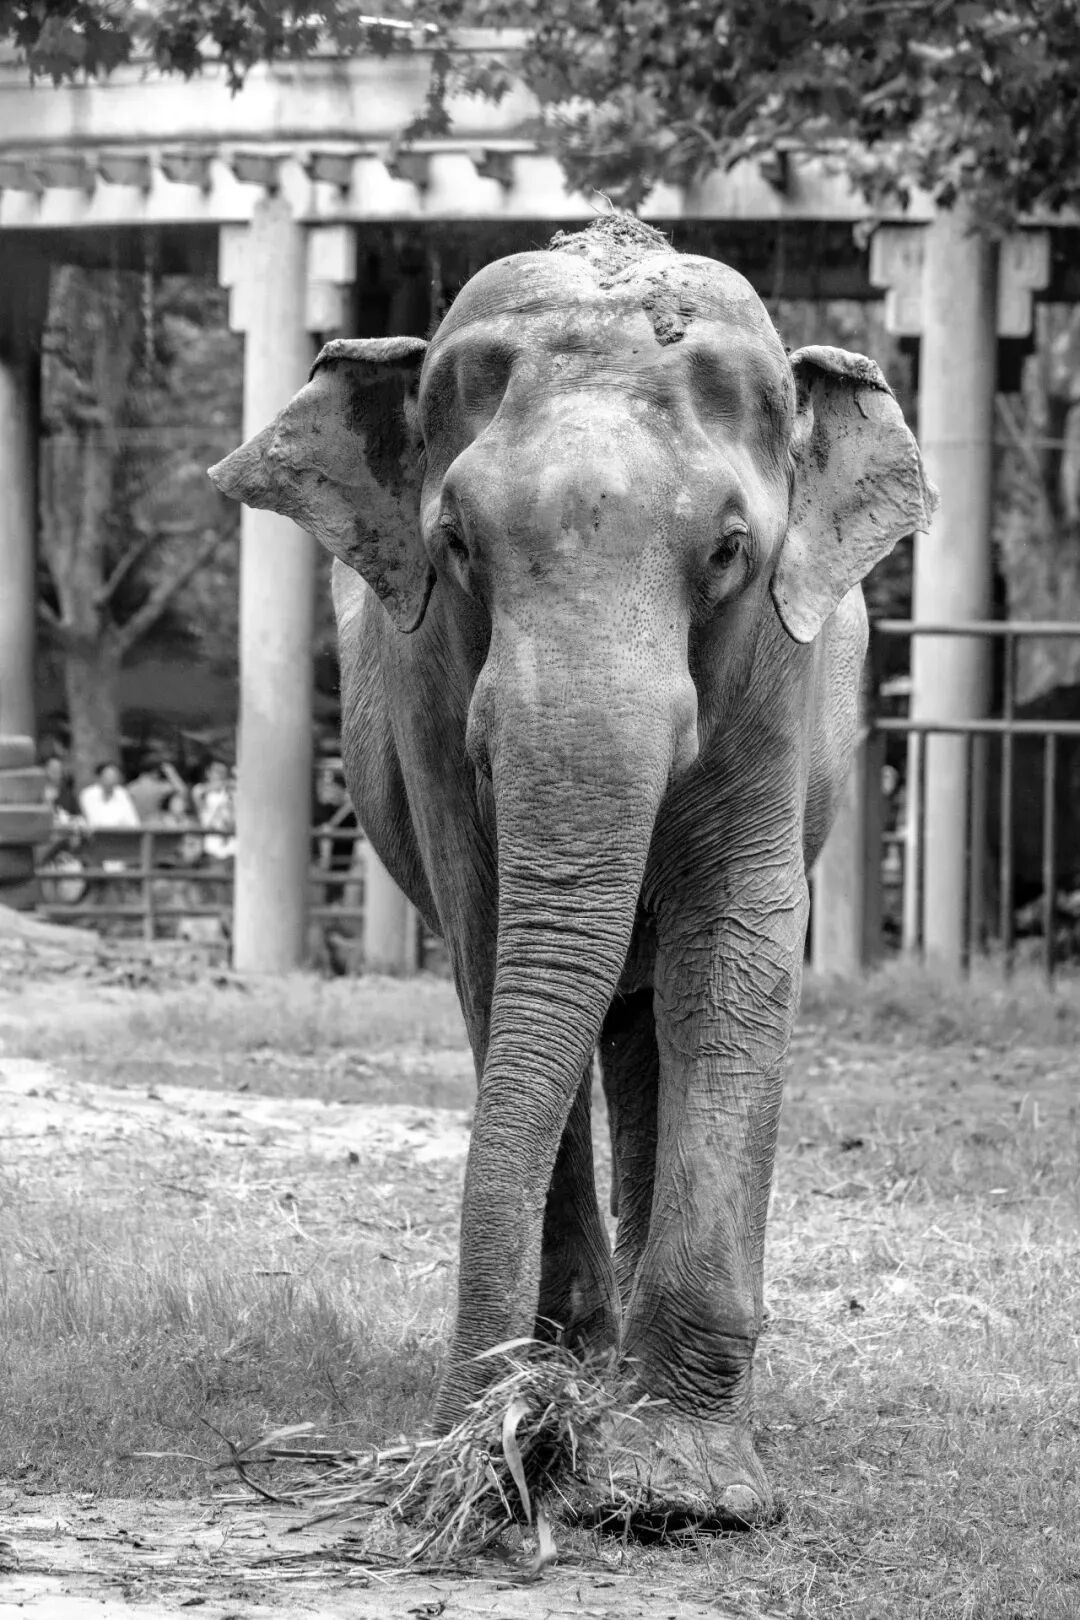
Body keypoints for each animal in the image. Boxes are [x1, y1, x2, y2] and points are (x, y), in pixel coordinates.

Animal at [209, 215, 935, 1527]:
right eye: (455, 544)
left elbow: (734, 950)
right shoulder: (433, 704)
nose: (464, 1444)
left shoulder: (779, 681)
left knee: (653, 1017)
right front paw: (544, 1408)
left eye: (729, 551)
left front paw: (680, 1491)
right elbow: (495, 948)